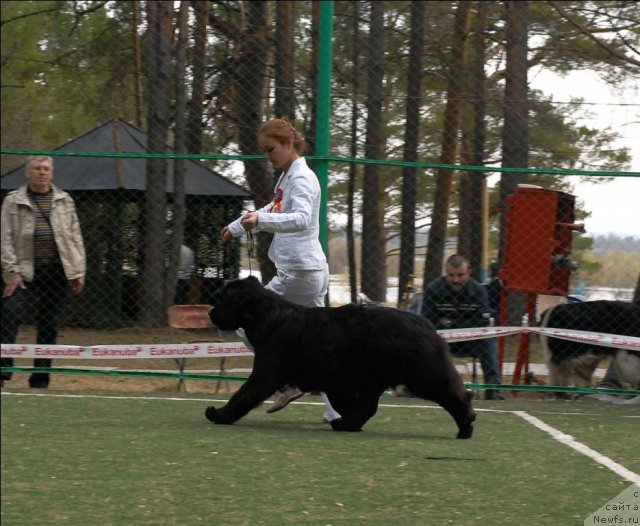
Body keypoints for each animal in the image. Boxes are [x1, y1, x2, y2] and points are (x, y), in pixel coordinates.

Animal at [204, 278, 476, 440]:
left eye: (224, 300)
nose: (210, 312)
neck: (266, 317)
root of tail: (426, 323)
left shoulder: (266, 373)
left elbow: (243, 395)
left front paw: (219, 415)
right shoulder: (337, 382)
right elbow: (349, 403)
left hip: (422, 375)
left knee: (456, 395)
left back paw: (466, 425)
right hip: (373, 378)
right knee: (368, 407)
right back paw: (346, 424)